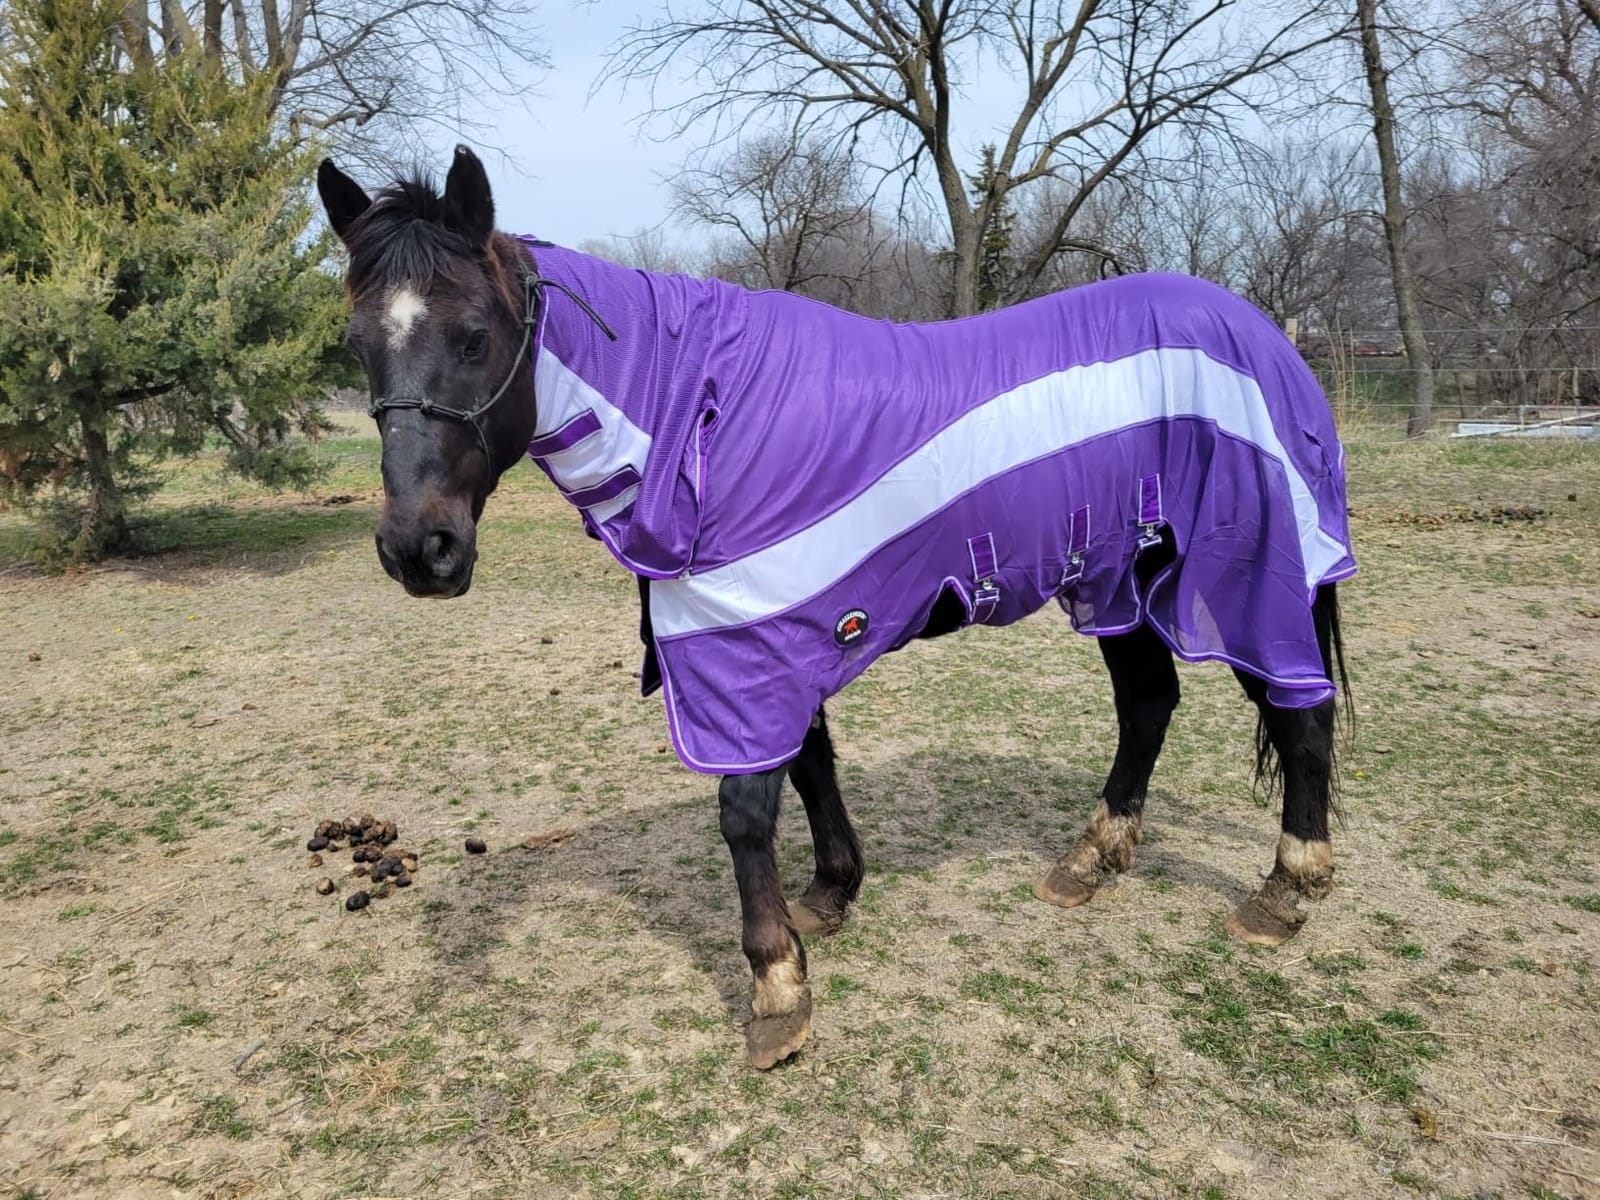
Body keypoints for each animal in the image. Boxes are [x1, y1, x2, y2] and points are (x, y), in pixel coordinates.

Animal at [316, 146, 1355, 1070]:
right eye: (358, 346)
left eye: (473, 335)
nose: (419, 551)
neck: (703, 415)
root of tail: (1263, 334)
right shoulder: (777, 632)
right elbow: (810, 765)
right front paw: (830, 895)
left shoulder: (748, 643)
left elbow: (745, 809)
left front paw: (777, 988)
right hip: (1117, 584)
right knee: (1147, 705)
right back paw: (1091, 861)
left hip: (1242, 578)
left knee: (1299, 714)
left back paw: (1285, 894)